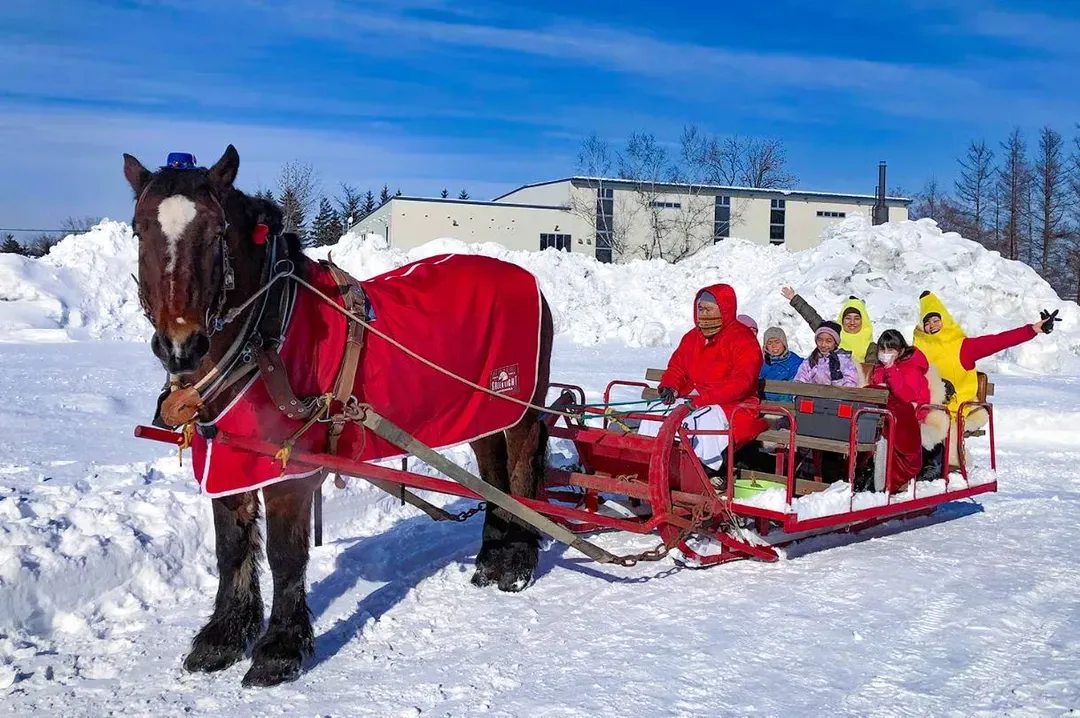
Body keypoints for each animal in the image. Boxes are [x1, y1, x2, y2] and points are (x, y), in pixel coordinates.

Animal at [123, 145, 554, 687]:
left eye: (215, 232)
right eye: (140, 230)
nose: (180, 345)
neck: (267, 337)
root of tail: (532, 283)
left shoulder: (288, 467)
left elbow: (285, 555)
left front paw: (280, 650)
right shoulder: (228, 458)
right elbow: (231, 548)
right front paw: (222, 637)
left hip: (519, 408)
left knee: (520, 469)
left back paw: (516, 561)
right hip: (483, 409)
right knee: (493, 473)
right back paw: (494, 556)